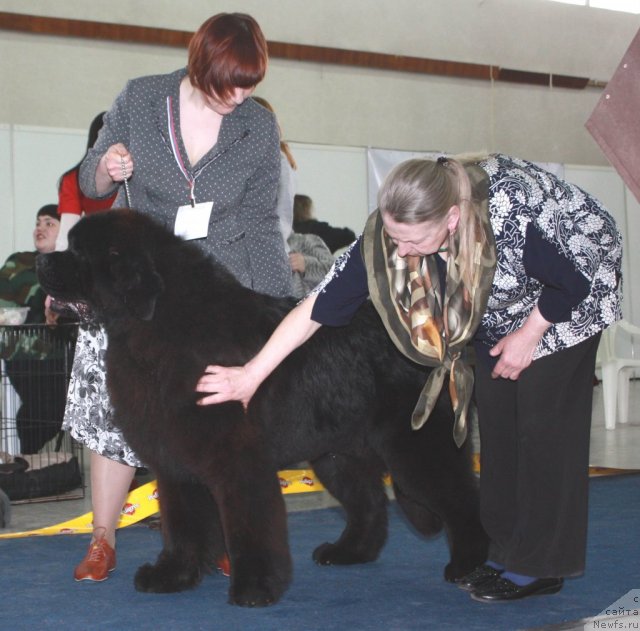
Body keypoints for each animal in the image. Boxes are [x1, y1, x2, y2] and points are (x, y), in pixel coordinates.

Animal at [37, 211, 488, 608]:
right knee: (369, 503)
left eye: (78, 253)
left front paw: (254, 588)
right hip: (335, 453)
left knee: (460, 496)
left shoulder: (237, 460)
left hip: (413, 445)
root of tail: (423, 338)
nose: (41, 259)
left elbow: (249, 526)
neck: (157, 328)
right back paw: (348, 552)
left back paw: (468, 563)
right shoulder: (175, 462)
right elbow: (182, 525)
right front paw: (173, 576)